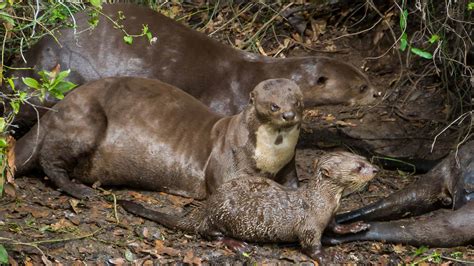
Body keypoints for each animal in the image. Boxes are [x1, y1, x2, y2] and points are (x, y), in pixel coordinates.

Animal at [15, 77, 304, 200]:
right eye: (274, 106)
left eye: (298, 102)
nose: (289, 114)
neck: (269, 158)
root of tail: (56, 109)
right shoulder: (226, 160)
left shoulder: (289, 164)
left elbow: (293, 184)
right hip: (86, 122)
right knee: (49, 160)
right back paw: (80, 191)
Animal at [117, 151, 378, 262]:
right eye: (358, 167)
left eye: (365, 159)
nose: (375, 169)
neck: (321, 202)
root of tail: (205, 209)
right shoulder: (309, 225)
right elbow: (310, 245)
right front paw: (330, 255)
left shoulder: (330, 216)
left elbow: (335, 226)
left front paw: (356, 226)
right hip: (222, 215)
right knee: (211, 233)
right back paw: (236, 243)